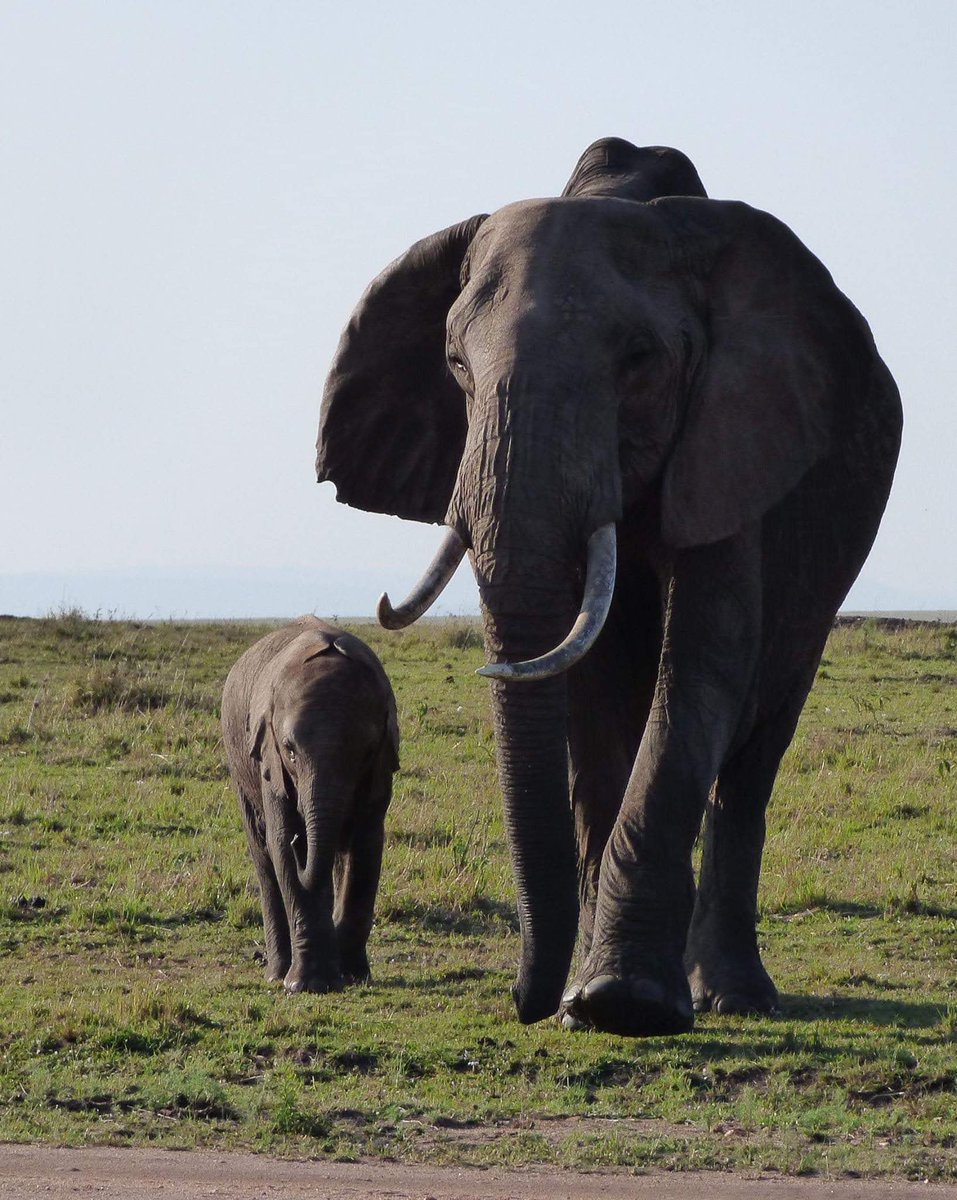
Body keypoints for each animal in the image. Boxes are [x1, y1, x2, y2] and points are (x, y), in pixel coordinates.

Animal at [223, 619, 398, 993]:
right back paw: (277, 973)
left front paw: (353, 976)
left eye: (365, 752)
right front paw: (308, 984)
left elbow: (366, 848)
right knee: (264, 859)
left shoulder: (380, 769)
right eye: (290, 751)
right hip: (237, 762)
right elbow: (282, 847)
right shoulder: (270, 763)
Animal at [316, 140, 906, 1036]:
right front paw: (581, 1006)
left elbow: (705, 654)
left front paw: (622, 1005)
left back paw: (733, 996)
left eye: (639, 362)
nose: (523, 1002)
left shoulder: (735, 431)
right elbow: (591, 685)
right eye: (454, 364)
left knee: (756, 748)